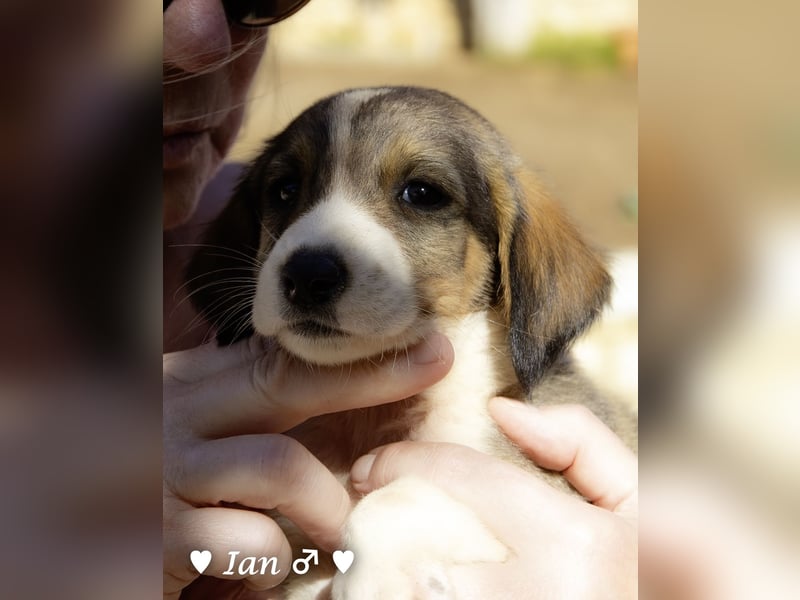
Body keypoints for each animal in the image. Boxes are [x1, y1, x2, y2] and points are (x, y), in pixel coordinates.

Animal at [189, 86, 636, 596]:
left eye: (422, 194)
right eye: (284, 190)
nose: (306, 275)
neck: (368, 418)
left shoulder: (539, 487)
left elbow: (392, 501)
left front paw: (372, 581)